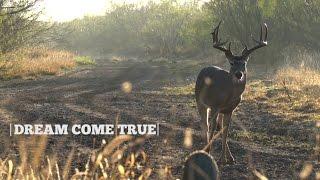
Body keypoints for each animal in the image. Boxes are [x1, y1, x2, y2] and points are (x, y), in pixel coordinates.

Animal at [195, 20, 268, 164]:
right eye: (232, 63)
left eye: (244, 63)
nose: (239, 74)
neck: (228, 95)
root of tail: (203, 69)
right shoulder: (215, 105)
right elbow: (212, 128)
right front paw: (211, 154)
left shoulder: (230, 109)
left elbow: (225, 131)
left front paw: (224, 158)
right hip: (200, 101)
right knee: (205, 124)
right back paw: (206, 149)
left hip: (219, 110)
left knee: (219, 127)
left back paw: (229, 156)